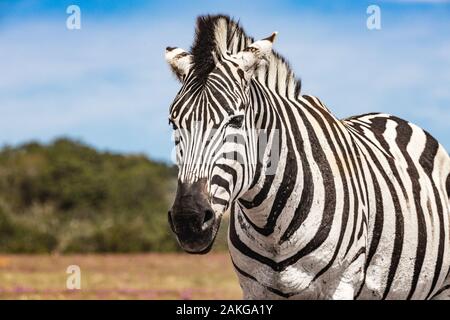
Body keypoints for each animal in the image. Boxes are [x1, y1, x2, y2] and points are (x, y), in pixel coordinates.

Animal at [165, 14, 450, 300]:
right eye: (173, 123)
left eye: (235, 120)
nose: (188, 220)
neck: (270, 226)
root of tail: (394, 118)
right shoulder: (254, 289)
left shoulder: (341, 283)